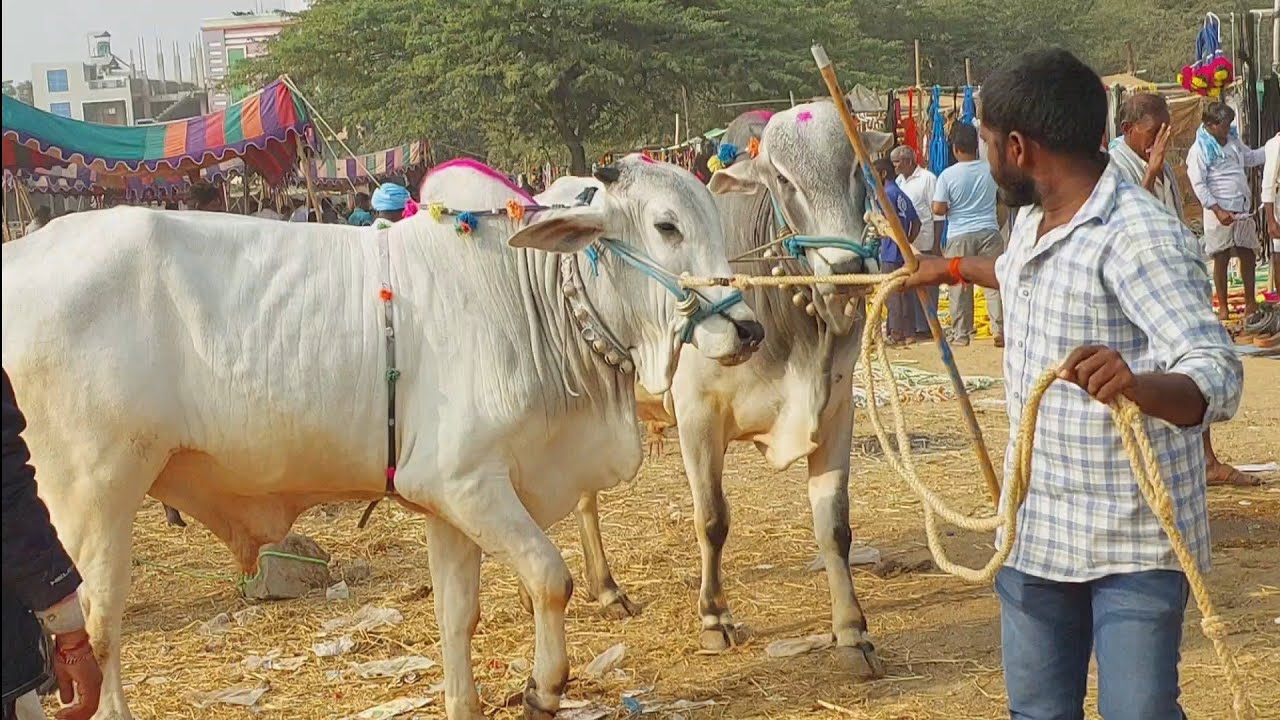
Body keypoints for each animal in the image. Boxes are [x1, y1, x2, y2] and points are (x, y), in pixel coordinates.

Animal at [0, 154, 762, 720]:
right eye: (666, 226)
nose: (749, 329)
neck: (530, 297)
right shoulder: (467, 485)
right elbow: (552, 578)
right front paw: (543, 688)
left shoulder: (451, 501)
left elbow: (459, 617)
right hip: (89, 498)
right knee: (95, 630)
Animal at [566, 102, 893, 677]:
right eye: (782, 179)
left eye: (857, 167)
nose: (847, 268)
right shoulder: (699, 416)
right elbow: (713, 519)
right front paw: (715, 617)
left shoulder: (835, 413)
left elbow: (835, 527)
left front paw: (852, 632)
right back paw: (607, 588)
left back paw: (604, 588)